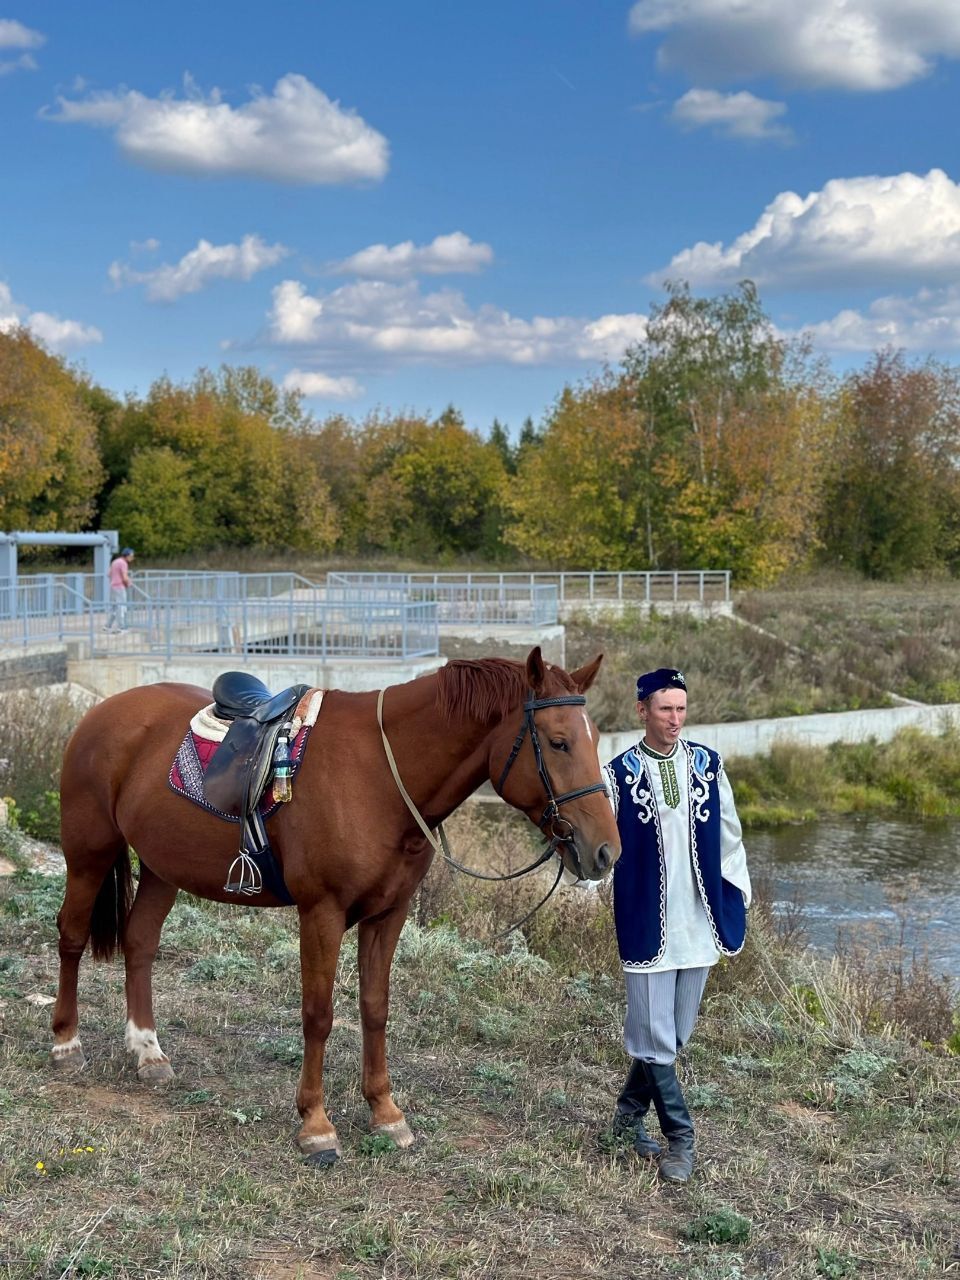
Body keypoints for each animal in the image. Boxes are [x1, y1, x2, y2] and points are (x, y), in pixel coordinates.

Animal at [52, 650, 619, 1162]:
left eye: (594, 740)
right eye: (559, 742)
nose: (605, 851)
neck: (380, 776)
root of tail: (103, 710)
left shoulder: (389, 914)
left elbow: (374, 1008)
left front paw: (385, 1112)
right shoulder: (321, 912)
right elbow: (319, 1014)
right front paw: (316, 1125)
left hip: (161, 867)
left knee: (140, 942)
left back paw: (147, 1051)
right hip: (89, 853)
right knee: (72, 936)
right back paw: (66, 1043)